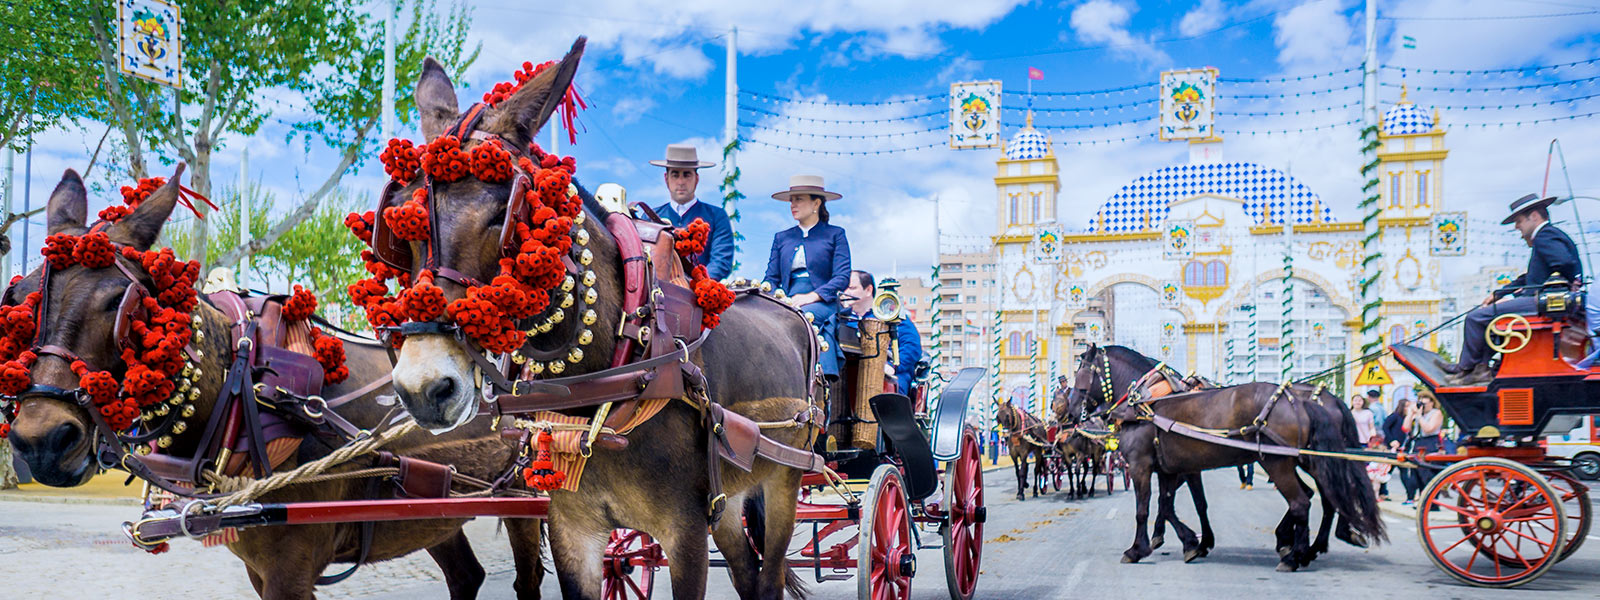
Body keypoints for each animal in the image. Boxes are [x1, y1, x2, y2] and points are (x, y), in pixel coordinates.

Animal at [3, 171, 544, 598]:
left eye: (120, 301)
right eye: (22, 301)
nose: (41, 439)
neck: (242, 390)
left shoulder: (291, 570)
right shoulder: (259, 570)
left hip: (527, 498)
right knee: (466, 575)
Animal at [384, 40, 812, 598]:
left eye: (503, 216)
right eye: (400, 222)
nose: (423, 387)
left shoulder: (686, 532)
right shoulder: (572, 528)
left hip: (784, 478)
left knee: (769, 573)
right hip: (732, 498)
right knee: (745, 569)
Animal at [1056, 345, 1382, 569]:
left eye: (1081, 370)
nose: (1069, 412)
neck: (1146, 401)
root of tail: (1299, 401)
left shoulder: (1141, 466)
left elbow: (1145, 508)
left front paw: (1139, 549)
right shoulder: (1172, 467)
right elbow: (1173, 505)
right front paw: (1193, 542)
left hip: (1277, 462)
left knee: (1304, 501)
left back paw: (1295, 555)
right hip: (1300, 460)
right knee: (1321, 497)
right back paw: (1302, 547)